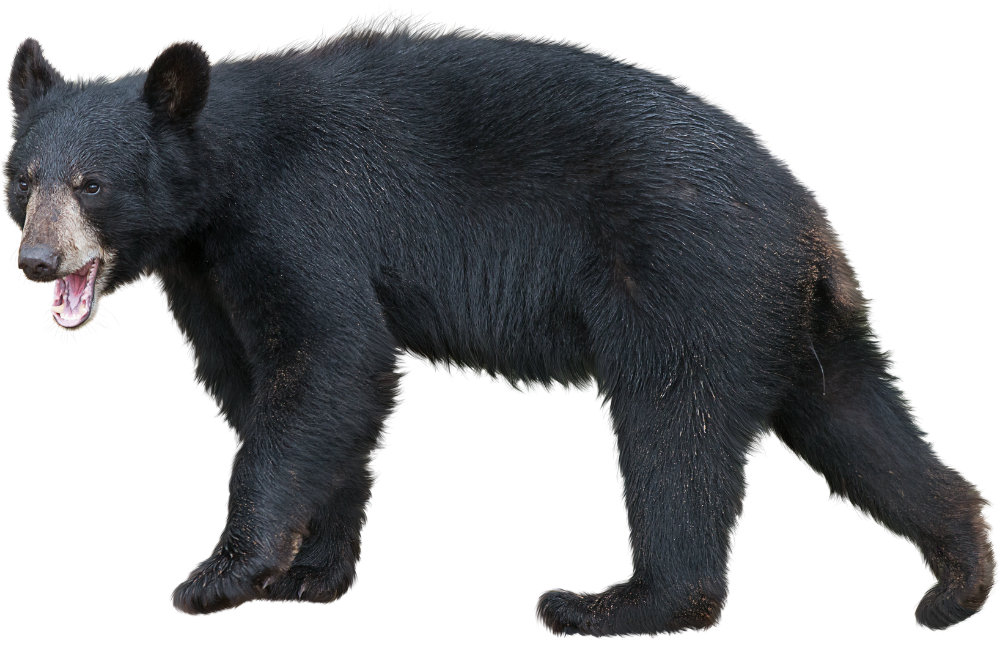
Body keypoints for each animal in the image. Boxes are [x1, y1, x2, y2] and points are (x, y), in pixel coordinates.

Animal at [4, 24, 995, 636]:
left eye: (93, 182)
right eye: (23, 178)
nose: (39, 263)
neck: (219, 176)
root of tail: (809, 222)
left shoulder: (302, 217)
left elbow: (333, 361)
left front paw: (221, 574)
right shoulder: (206, 276)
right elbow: (277, 389)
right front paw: (310, 572)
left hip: (684, 280)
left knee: (675, 428)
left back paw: (613, 603)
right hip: (789, 319)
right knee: (858, 424)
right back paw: (960, 574)